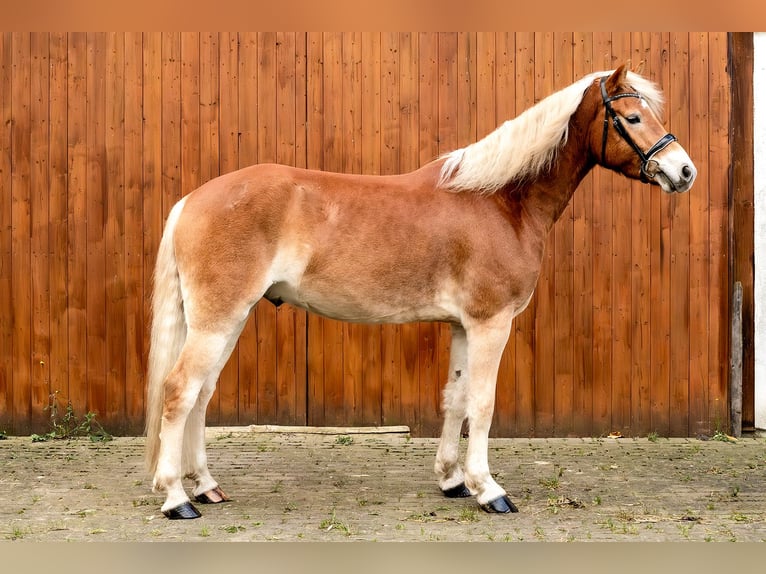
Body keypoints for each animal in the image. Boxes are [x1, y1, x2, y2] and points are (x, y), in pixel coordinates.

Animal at [142, 65, 696, 520]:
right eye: (631, 116)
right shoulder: (491, 323)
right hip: (218, 320)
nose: (684, 171)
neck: (500, 201)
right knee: (180, 392)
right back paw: (177, 498)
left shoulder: (463, 326)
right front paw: (490, 490)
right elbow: (484, 403)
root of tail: (191, 200)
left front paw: (453, 481)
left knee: (201, 396)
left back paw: (206, 486)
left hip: (226, 320)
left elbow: (456, 399)